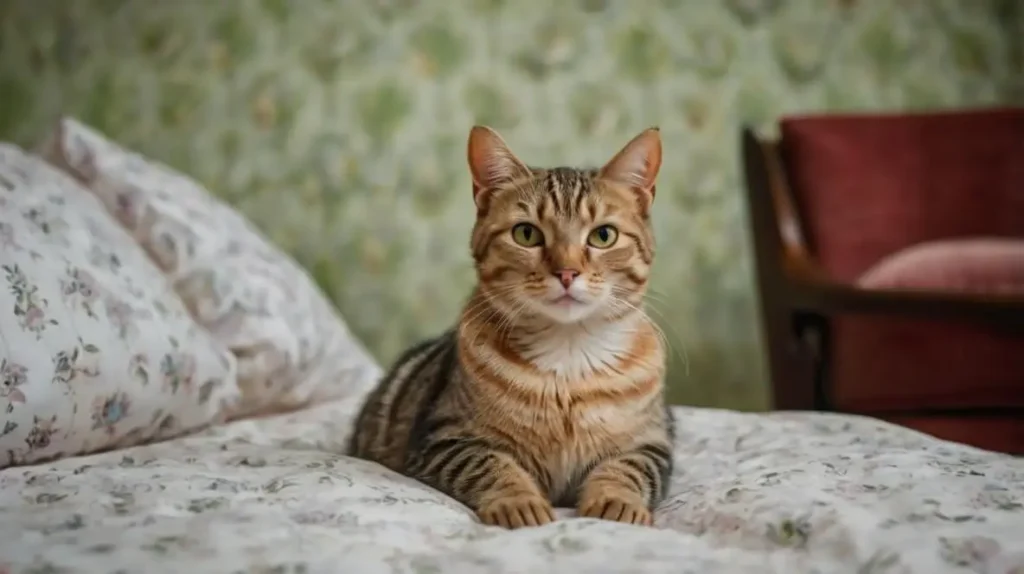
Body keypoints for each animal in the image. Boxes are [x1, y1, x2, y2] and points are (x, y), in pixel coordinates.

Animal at [348, 125, 675, 527]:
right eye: (526, 234)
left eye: (603, 236)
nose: (567, 272)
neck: (568, 357)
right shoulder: (443, 439)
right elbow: (492, 465)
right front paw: (519, 503)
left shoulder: (651, 442)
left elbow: (626, 469)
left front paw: (617, 502)